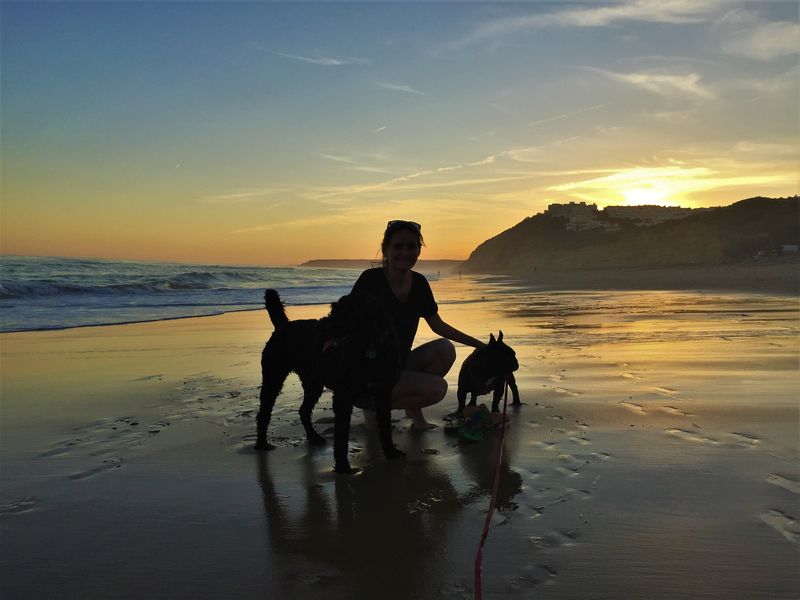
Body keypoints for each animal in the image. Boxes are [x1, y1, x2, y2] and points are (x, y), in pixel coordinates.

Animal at [258, 290, 406, 474]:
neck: (369, 348)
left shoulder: (383, 394)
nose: (321, 327)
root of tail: (283, 326)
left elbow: (385, 426)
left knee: (303, 411)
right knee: (264, 413)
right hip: (273, 377)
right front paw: (343, 466)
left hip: (313, 383)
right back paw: (262, 444)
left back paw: (314, 437)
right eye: (333, 309)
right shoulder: (343, 397)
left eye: (345, 314)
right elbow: (341, 435)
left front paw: (391, 452)